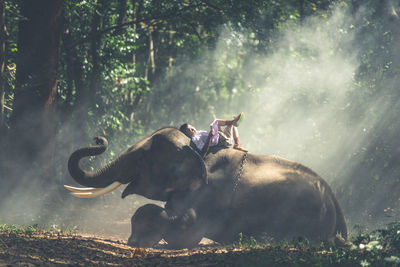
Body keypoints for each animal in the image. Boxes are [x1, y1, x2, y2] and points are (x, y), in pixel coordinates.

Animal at [65, 127, 346, 249]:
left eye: (143, 159)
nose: (98, 138)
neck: (199, 151)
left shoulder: (210, 194)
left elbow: (187, 230)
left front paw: (139, 241)